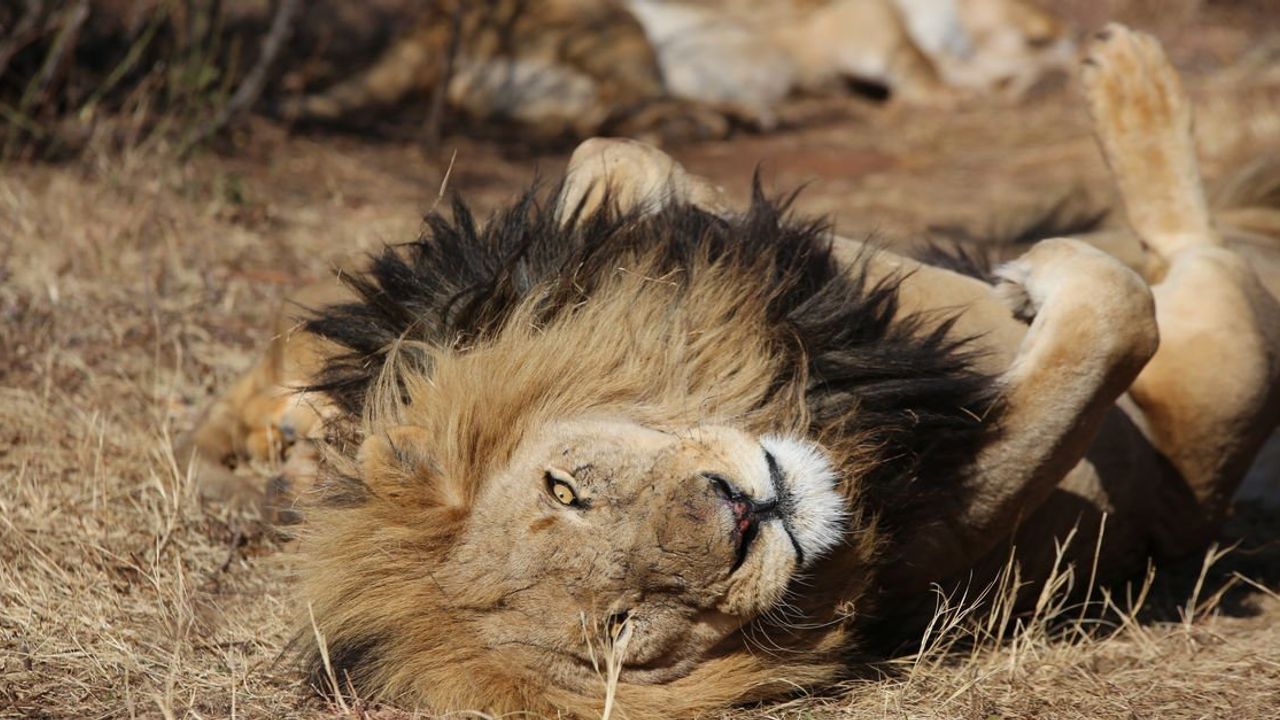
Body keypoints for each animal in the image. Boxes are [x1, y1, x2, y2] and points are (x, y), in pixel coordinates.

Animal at [185, 25, 1280, 712]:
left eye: (565, 489)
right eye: (623, 624)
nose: (740, 514)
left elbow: (634, 178)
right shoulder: (930, 535)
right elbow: (1094, 343)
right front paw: (1043, 277)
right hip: (1223, 376)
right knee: (1188, 254)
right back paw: (1123, 96)